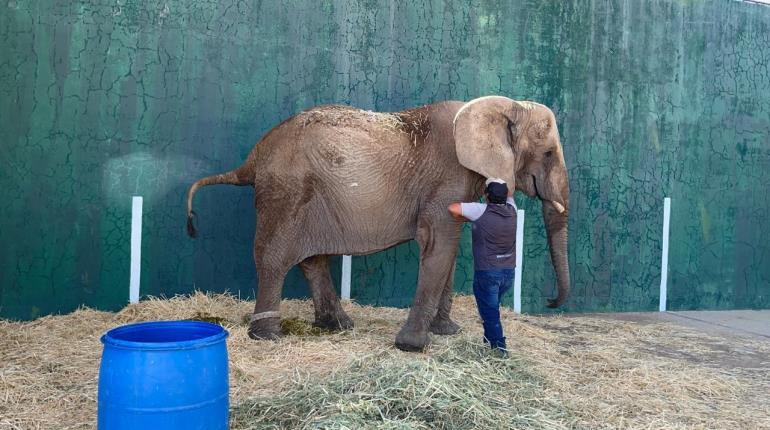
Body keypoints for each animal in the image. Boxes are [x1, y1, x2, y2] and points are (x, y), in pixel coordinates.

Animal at [186, 95, 568, 352]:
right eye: (549, 153)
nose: (551, 302)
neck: (499, 105)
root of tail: (252, 160)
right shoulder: (446, 178)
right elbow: (438, 243)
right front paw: (412, 346)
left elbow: (448, 249)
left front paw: (448, 332)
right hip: (285, 191)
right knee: (274, 258)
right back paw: (268, 336)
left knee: (312, 259)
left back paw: (337, 326)